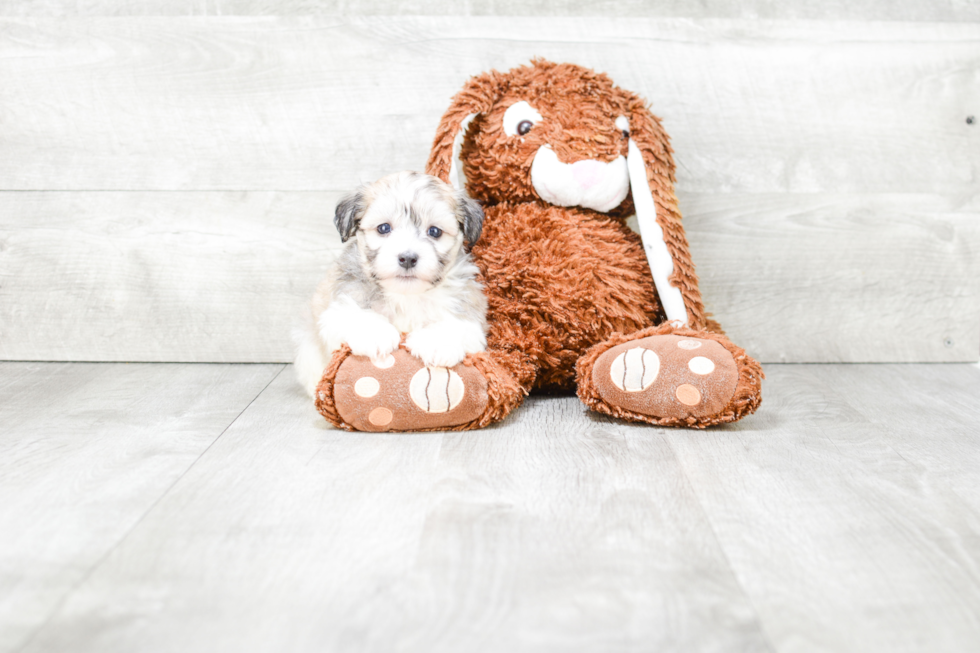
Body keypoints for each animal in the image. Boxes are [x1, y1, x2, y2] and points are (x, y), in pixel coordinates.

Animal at [292, 171, 488, 394]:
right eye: (384, 228)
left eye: (435, 232)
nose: (408, 258)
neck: (406, 295)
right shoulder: (339, 306)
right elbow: (353, 314)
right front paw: (375, 333)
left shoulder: (468, 309)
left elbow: (457, 322)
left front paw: (437, 342)